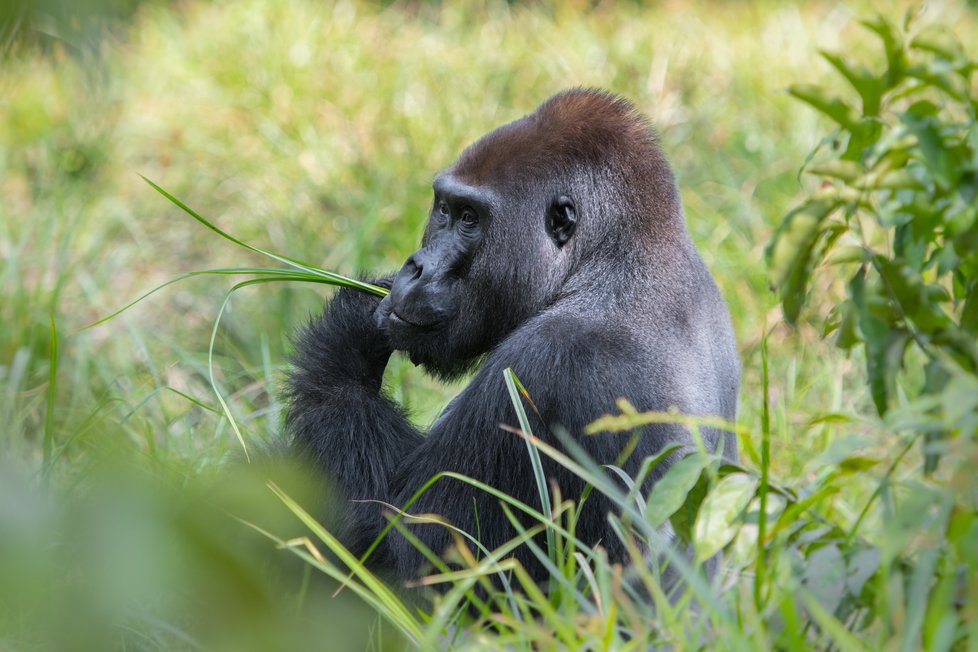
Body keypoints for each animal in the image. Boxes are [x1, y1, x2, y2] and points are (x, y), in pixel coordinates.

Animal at [286, 88, 736, 584]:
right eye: (443, 209)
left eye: (469, 218)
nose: (416, 266)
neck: (613, 261)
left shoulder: (550, 362)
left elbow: (413, 560)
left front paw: (345, 336)